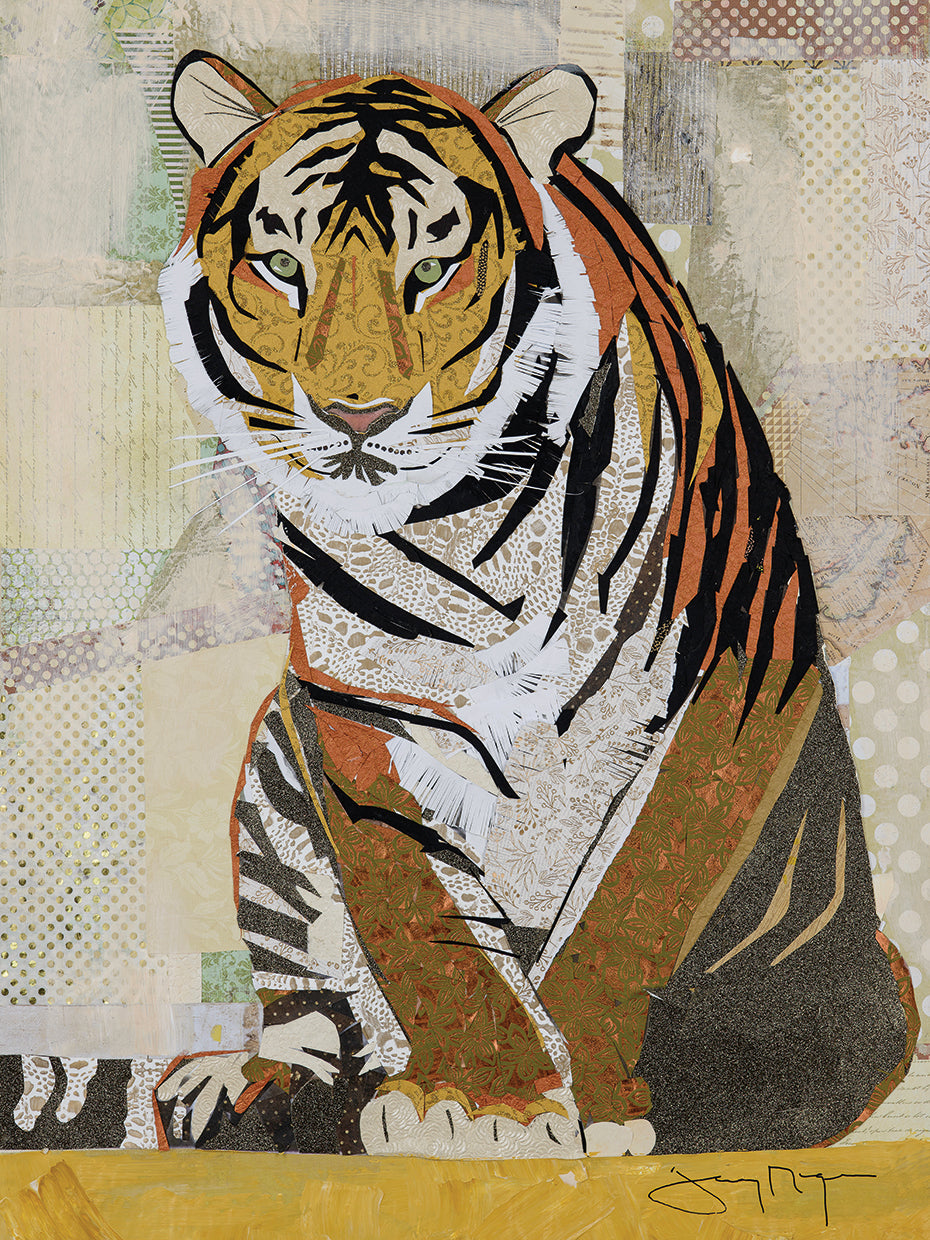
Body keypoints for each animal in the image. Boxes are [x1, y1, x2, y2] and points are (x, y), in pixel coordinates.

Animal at [155, 51, 917, 1158]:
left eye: (433, 267)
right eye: (282, 265)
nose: (356, 418)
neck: (463, 541)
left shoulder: (721, 681)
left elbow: (628, 905)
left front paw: (596, 1102)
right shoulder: (354, 713)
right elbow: (427, 923)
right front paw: (480, 1104)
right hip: (270, 782)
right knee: (316, 1010)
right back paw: (247, 1090)